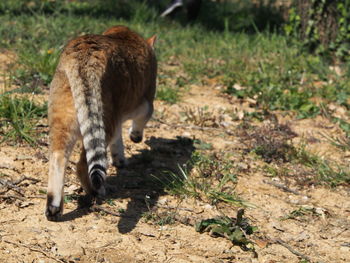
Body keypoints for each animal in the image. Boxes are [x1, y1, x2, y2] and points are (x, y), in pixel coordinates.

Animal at [45, 25, 157, 222]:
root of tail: (84, 54)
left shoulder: (119, 116)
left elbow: (118, 140)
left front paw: (120, 159)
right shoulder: (145, 103)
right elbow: (138, 122)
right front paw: (135, 137)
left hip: (64, 118)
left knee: (58, 157)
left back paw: (54, 207)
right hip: (104, 119)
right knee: (83, 165)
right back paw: (97, 191)